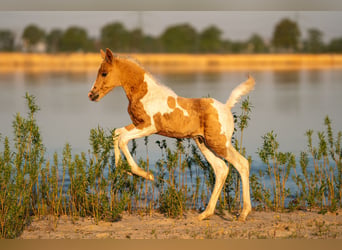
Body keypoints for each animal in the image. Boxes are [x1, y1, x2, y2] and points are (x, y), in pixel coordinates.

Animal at [88, 48, 254, 221]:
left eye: (104, 73)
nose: (92, 95)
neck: (145, 93)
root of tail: (226, 107)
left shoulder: (149, 127)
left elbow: (122, 139)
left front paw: (143, 174)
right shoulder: (138, 124)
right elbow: (117, 133)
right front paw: (122, 168)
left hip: (219, 143)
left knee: (242, 164)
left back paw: (243, 213)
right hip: (203, 142)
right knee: (221, 168)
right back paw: (205, 214)